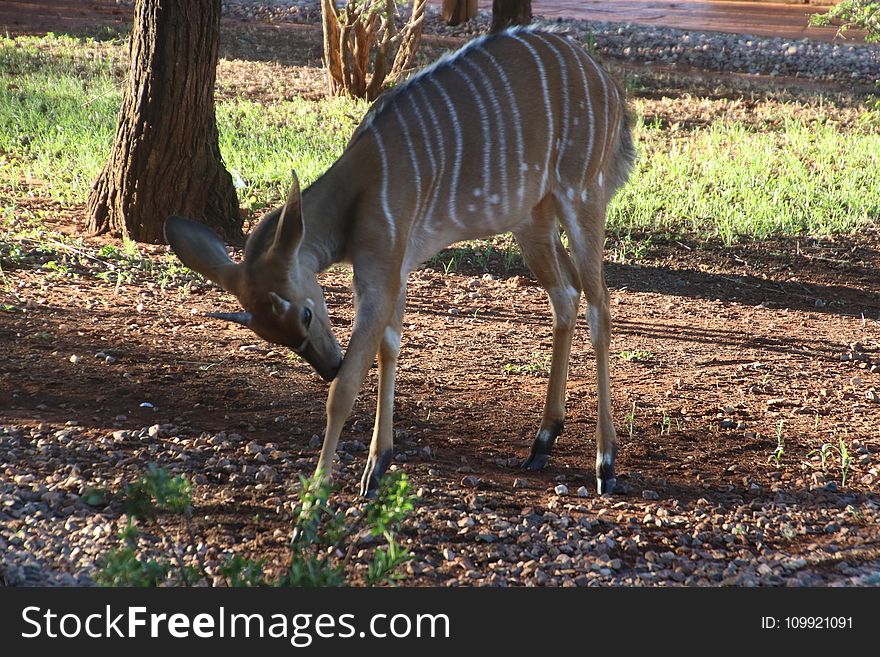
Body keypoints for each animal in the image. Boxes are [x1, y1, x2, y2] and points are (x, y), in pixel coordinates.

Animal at [163, 26, 632, 498]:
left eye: (306, 313)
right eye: (267, 333)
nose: (326, 364)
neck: (360, 190)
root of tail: (611, 87)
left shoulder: (380, 269)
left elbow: (346, 387)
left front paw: (318, 493)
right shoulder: (397, 267)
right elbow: (390, 347)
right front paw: (378, 465)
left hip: (583, 194)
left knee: (600, 305)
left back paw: (605, 463)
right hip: (531, 218)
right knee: (565, 294)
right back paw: (542, 441)